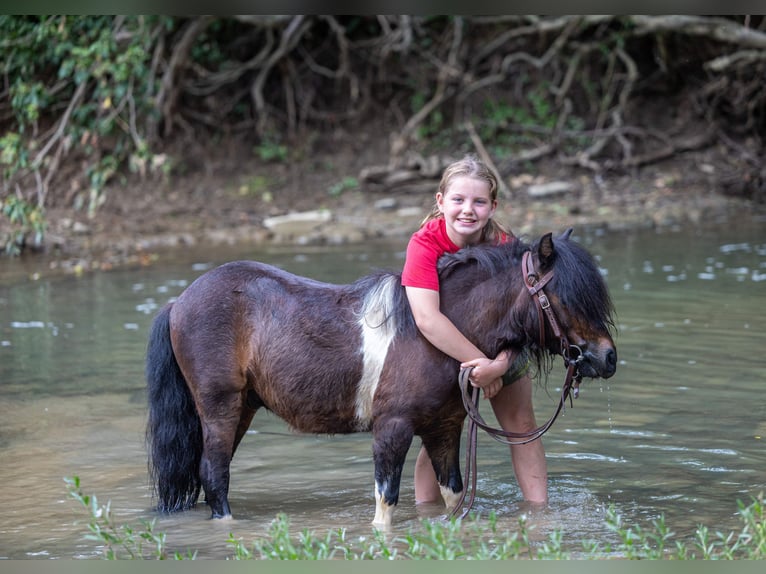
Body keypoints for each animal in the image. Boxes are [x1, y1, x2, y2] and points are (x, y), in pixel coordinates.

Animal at [145, 230, 617, 526]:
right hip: (220, 406)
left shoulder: (445, 430)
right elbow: (384, 505)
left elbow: (453, 495)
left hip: (242, 408)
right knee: (214, 474)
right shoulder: (391, 429)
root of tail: (179, 301)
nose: (608, 358)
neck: (431, 335)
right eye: (564, 297)